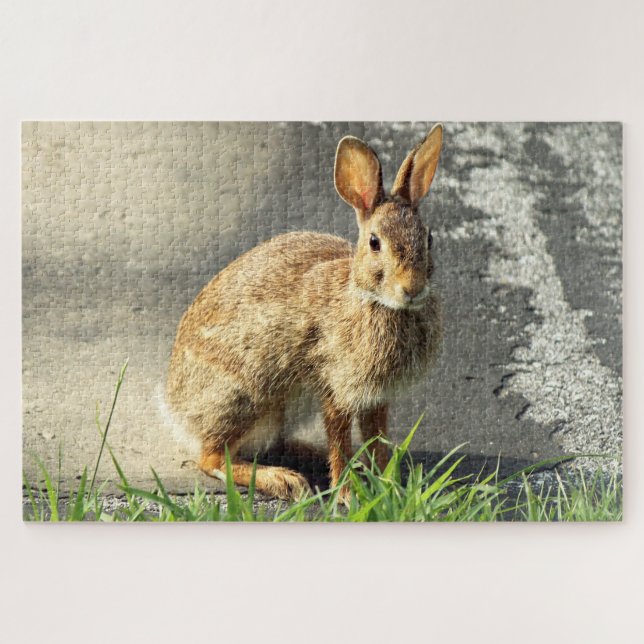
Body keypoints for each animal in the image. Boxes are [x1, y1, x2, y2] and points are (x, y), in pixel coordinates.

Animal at [165, 124, 444, 501]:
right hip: (246, 397)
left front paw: (388, 486)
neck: (370, 299)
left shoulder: (374, 398)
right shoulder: (335, 385)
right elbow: (339, 436)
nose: (411, 288)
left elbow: (377, 439)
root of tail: (173, 405)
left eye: (428, 238)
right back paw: (284, 479)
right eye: (375, 243)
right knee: (212, 458)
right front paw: (348, 494)